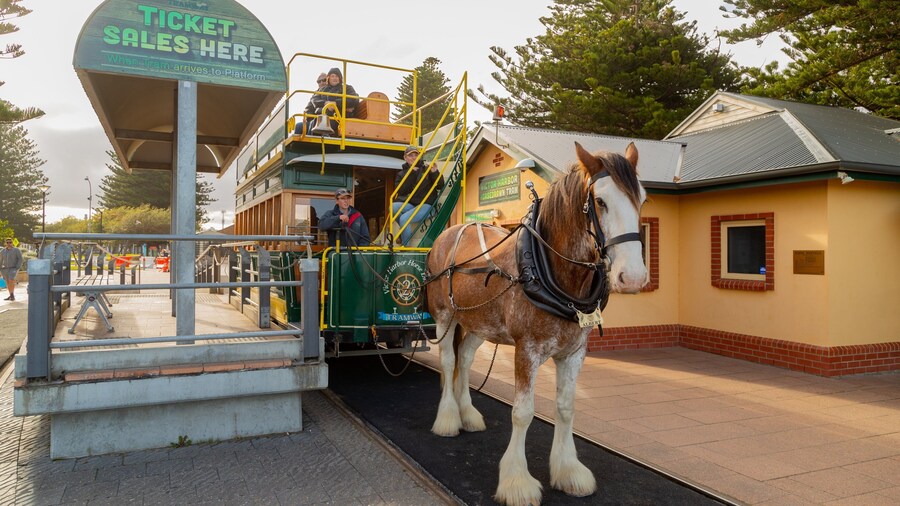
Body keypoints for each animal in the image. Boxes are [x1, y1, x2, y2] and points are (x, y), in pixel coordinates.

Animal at [425, 142, 647, 506]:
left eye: (641, 199)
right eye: (600, 201)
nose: (634, 278)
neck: (553, 273)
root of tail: (456, 229)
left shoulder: (573, 353)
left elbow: (566, 407)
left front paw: (568, 469)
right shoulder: (525, 350)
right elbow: (523, 412)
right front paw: (516, 481)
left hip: (479, 323)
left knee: (465, 358)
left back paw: (467, 412)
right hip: (445, 314)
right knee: (446, 360)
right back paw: (447, 417)